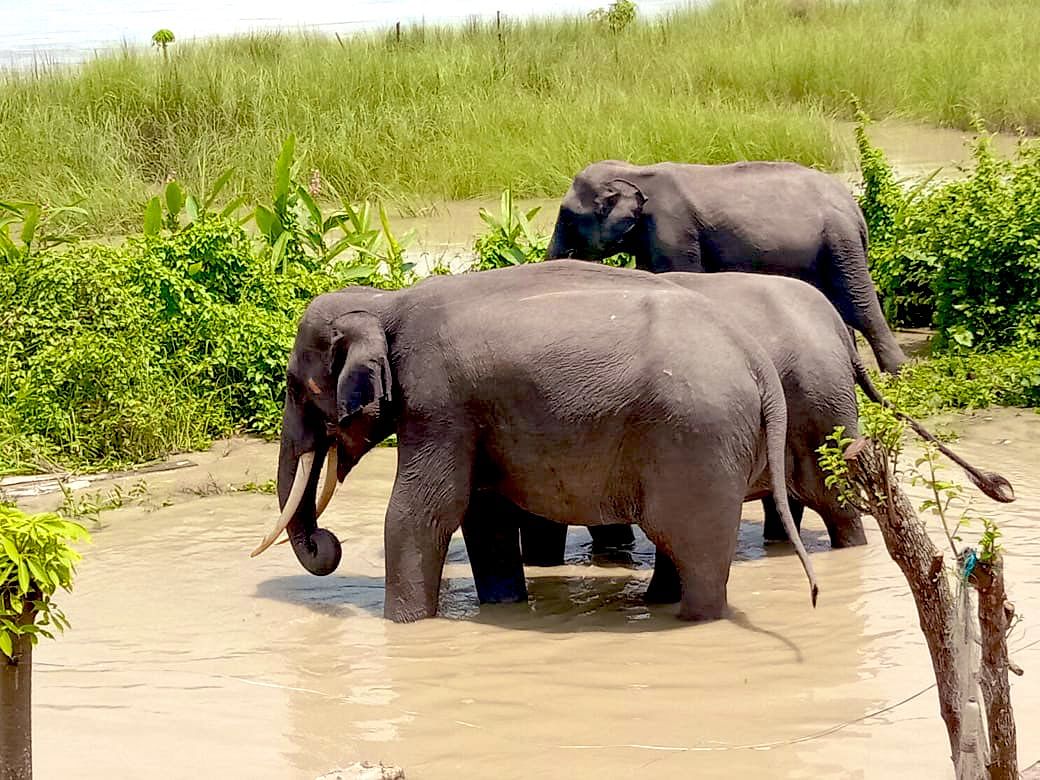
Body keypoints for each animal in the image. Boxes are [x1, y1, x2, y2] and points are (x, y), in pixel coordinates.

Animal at [251, 261, 819, 624]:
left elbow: (421, 513)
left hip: (698, 441)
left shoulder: (438, 403)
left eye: (296, 388)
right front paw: (504, 606)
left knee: (695, 550)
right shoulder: (473, 414)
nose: (329, 544)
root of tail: (755, 360)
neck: (384, 302)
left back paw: (693, 621)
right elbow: (483, 515)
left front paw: (403, 627)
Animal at [544, 157, 911, 376]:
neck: (635, 170)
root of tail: (854, 206)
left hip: (839, 240)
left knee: (858, 303)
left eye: (568, 217)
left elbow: (680, 275)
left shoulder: (674, 229)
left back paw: (898, 373)